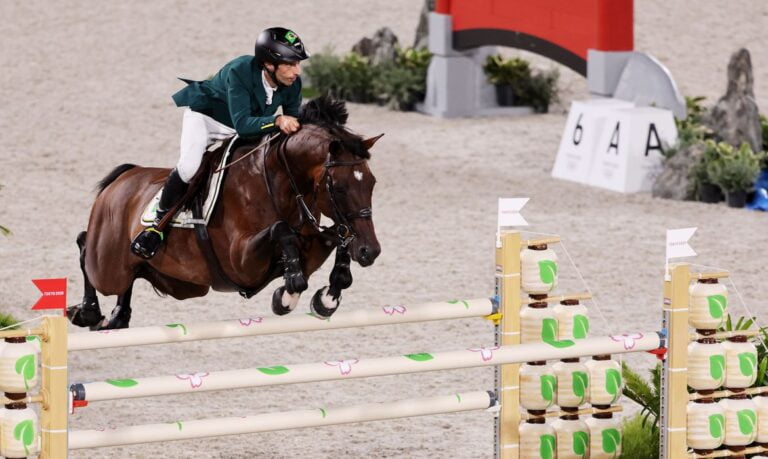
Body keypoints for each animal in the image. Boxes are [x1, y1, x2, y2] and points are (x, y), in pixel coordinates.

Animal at [68, 97, 384, 330]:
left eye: (372, 182)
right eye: (339, 188)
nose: (370, 251)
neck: (278, 183)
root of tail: (123, 179)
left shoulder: (312, 244)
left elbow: (336, 240)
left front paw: (327, 297)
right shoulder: (241, 263)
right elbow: (281, 231)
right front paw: (289, 293)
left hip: (183, 284)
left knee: (130, 278)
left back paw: (117, 316)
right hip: (108, 266)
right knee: (85, 246)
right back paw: (87, 311)